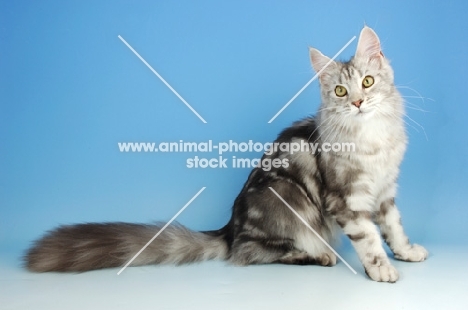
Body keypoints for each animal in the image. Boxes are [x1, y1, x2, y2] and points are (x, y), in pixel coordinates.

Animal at [25, 27, 428, 284]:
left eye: (367, 83)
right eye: (341, 91)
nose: (358, 103)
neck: (373, 137)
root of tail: (230, 228)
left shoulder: (385, 191)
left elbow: (393, 228)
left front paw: (406, 252)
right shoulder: (347, 199)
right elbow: (370, 240)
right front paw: (381, 270)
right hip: (287, 202)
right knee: (253, 253)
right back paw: (318, 255)